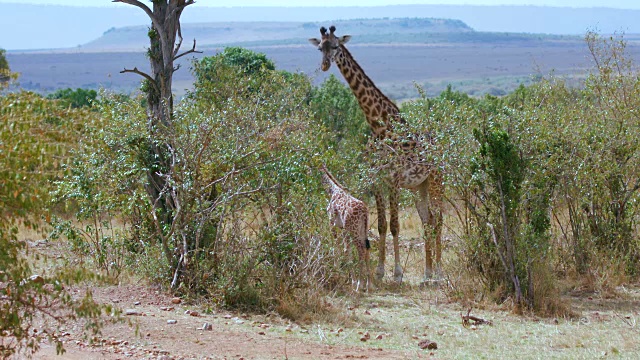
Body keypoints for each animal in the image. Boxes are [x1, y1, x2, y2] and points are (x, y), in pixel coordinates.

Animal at [308, 25, 440, 284]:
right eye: (320, 48)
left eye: (336, 46)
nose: (325, 65)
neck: (379, 126)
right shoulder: (377, 179)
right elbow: (381, 225)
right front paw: (380, 271)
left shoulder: (395, 179)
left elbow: (395, 225)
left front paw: (397, 273)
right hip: (419, 186)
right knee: (427, 219)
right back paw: (427, 273)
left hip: (437, 179)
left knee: (438, 219)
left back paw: (439, 271)